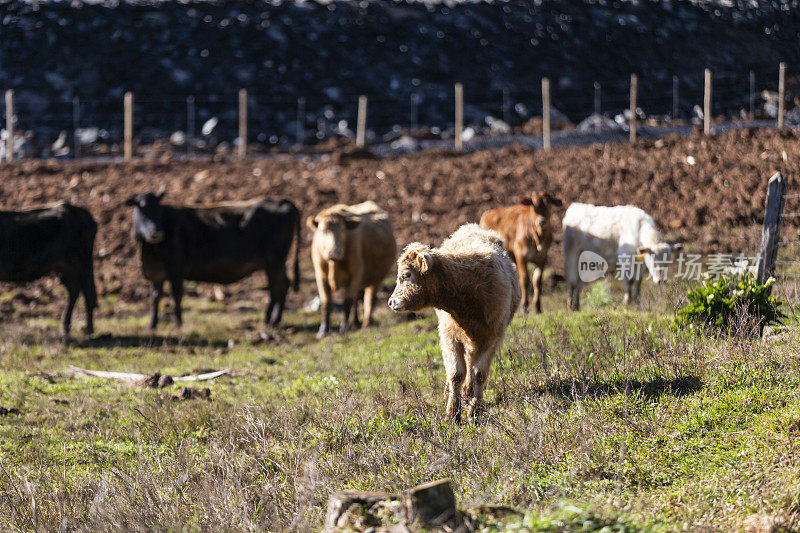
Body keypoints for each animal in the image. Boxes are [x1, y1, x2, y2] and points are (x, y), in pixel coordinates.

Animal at [0, 202, 98, 338]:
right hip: (64, 268)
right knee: (74, 290)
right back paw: (65, 328)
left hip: (81, 263)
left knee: (88, 292)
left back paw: (88, 330)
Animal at [306, 200, 396, 336]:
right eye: (323, 230)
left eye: (343, 230)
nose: (335, 253)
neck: (334, 264)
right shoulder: (320, 276)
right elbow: (326, 302)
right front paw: (323, 330)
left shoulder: (356, 273)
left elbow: (347, 301)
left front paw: (344, 327)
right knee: (357, 299)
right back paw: (355, 322)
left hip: (377, 279)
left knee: (369, 300)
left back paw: (366, 323)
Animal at [386, 222, 520, 422]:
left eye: (406, 275)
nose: (391, 301)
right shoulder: (449, 337)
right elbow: (456, 374)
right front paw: (452, 414)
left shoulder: (492, 338)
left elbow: (479, 374)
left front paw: (474, 412)